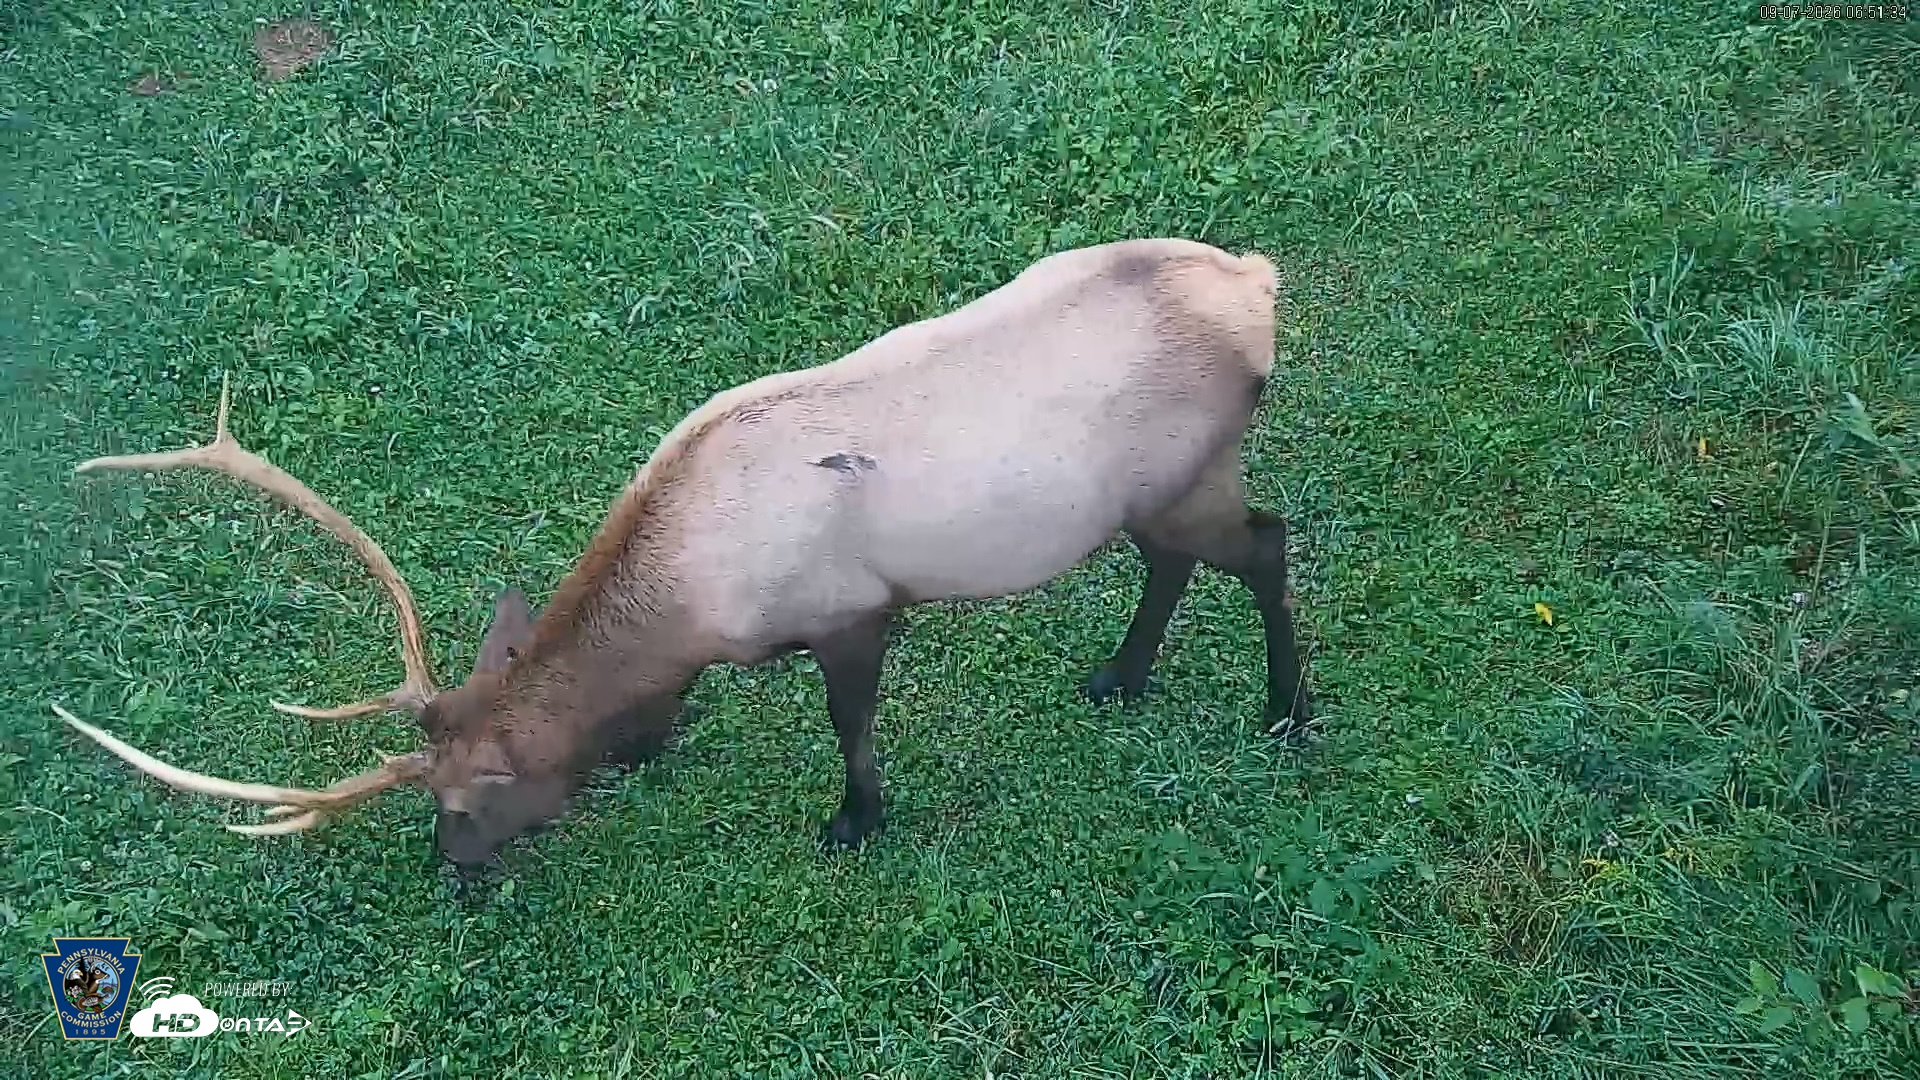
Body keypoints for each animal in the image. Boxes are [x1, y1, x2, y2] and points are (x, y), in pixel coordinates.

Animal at [56, 237, 1312, 866]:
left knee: (1265, 544)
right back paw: (1122, 676)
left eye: (463, 803)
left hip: (1191, 472)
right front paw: (652, 745)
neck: (694, 599)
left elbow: (849, 726)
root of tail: (1259, 285)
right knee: (1181, 562)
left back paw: (1286, 713)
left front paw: (855, 823)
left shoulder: (852, 608)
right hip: (1152, 496)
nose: (451, 876)